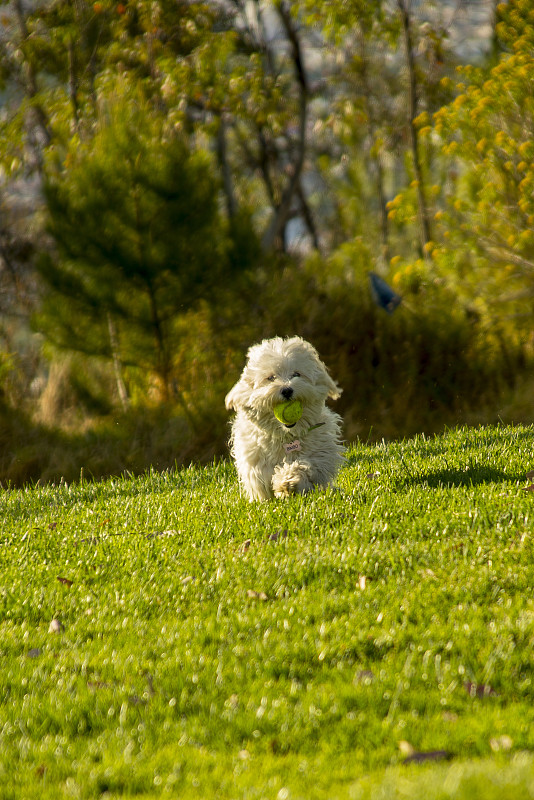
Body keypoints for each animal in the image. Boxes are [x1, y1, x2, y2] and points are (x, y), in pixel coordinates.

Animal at [227, 336, 348, 500]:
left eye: (296, 374)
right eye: (270, 378)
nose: (286, 390)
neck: (287, 435)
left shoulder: (320, 452)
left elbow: (306, 465)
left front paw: (288, 480)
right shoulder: (256, 461)